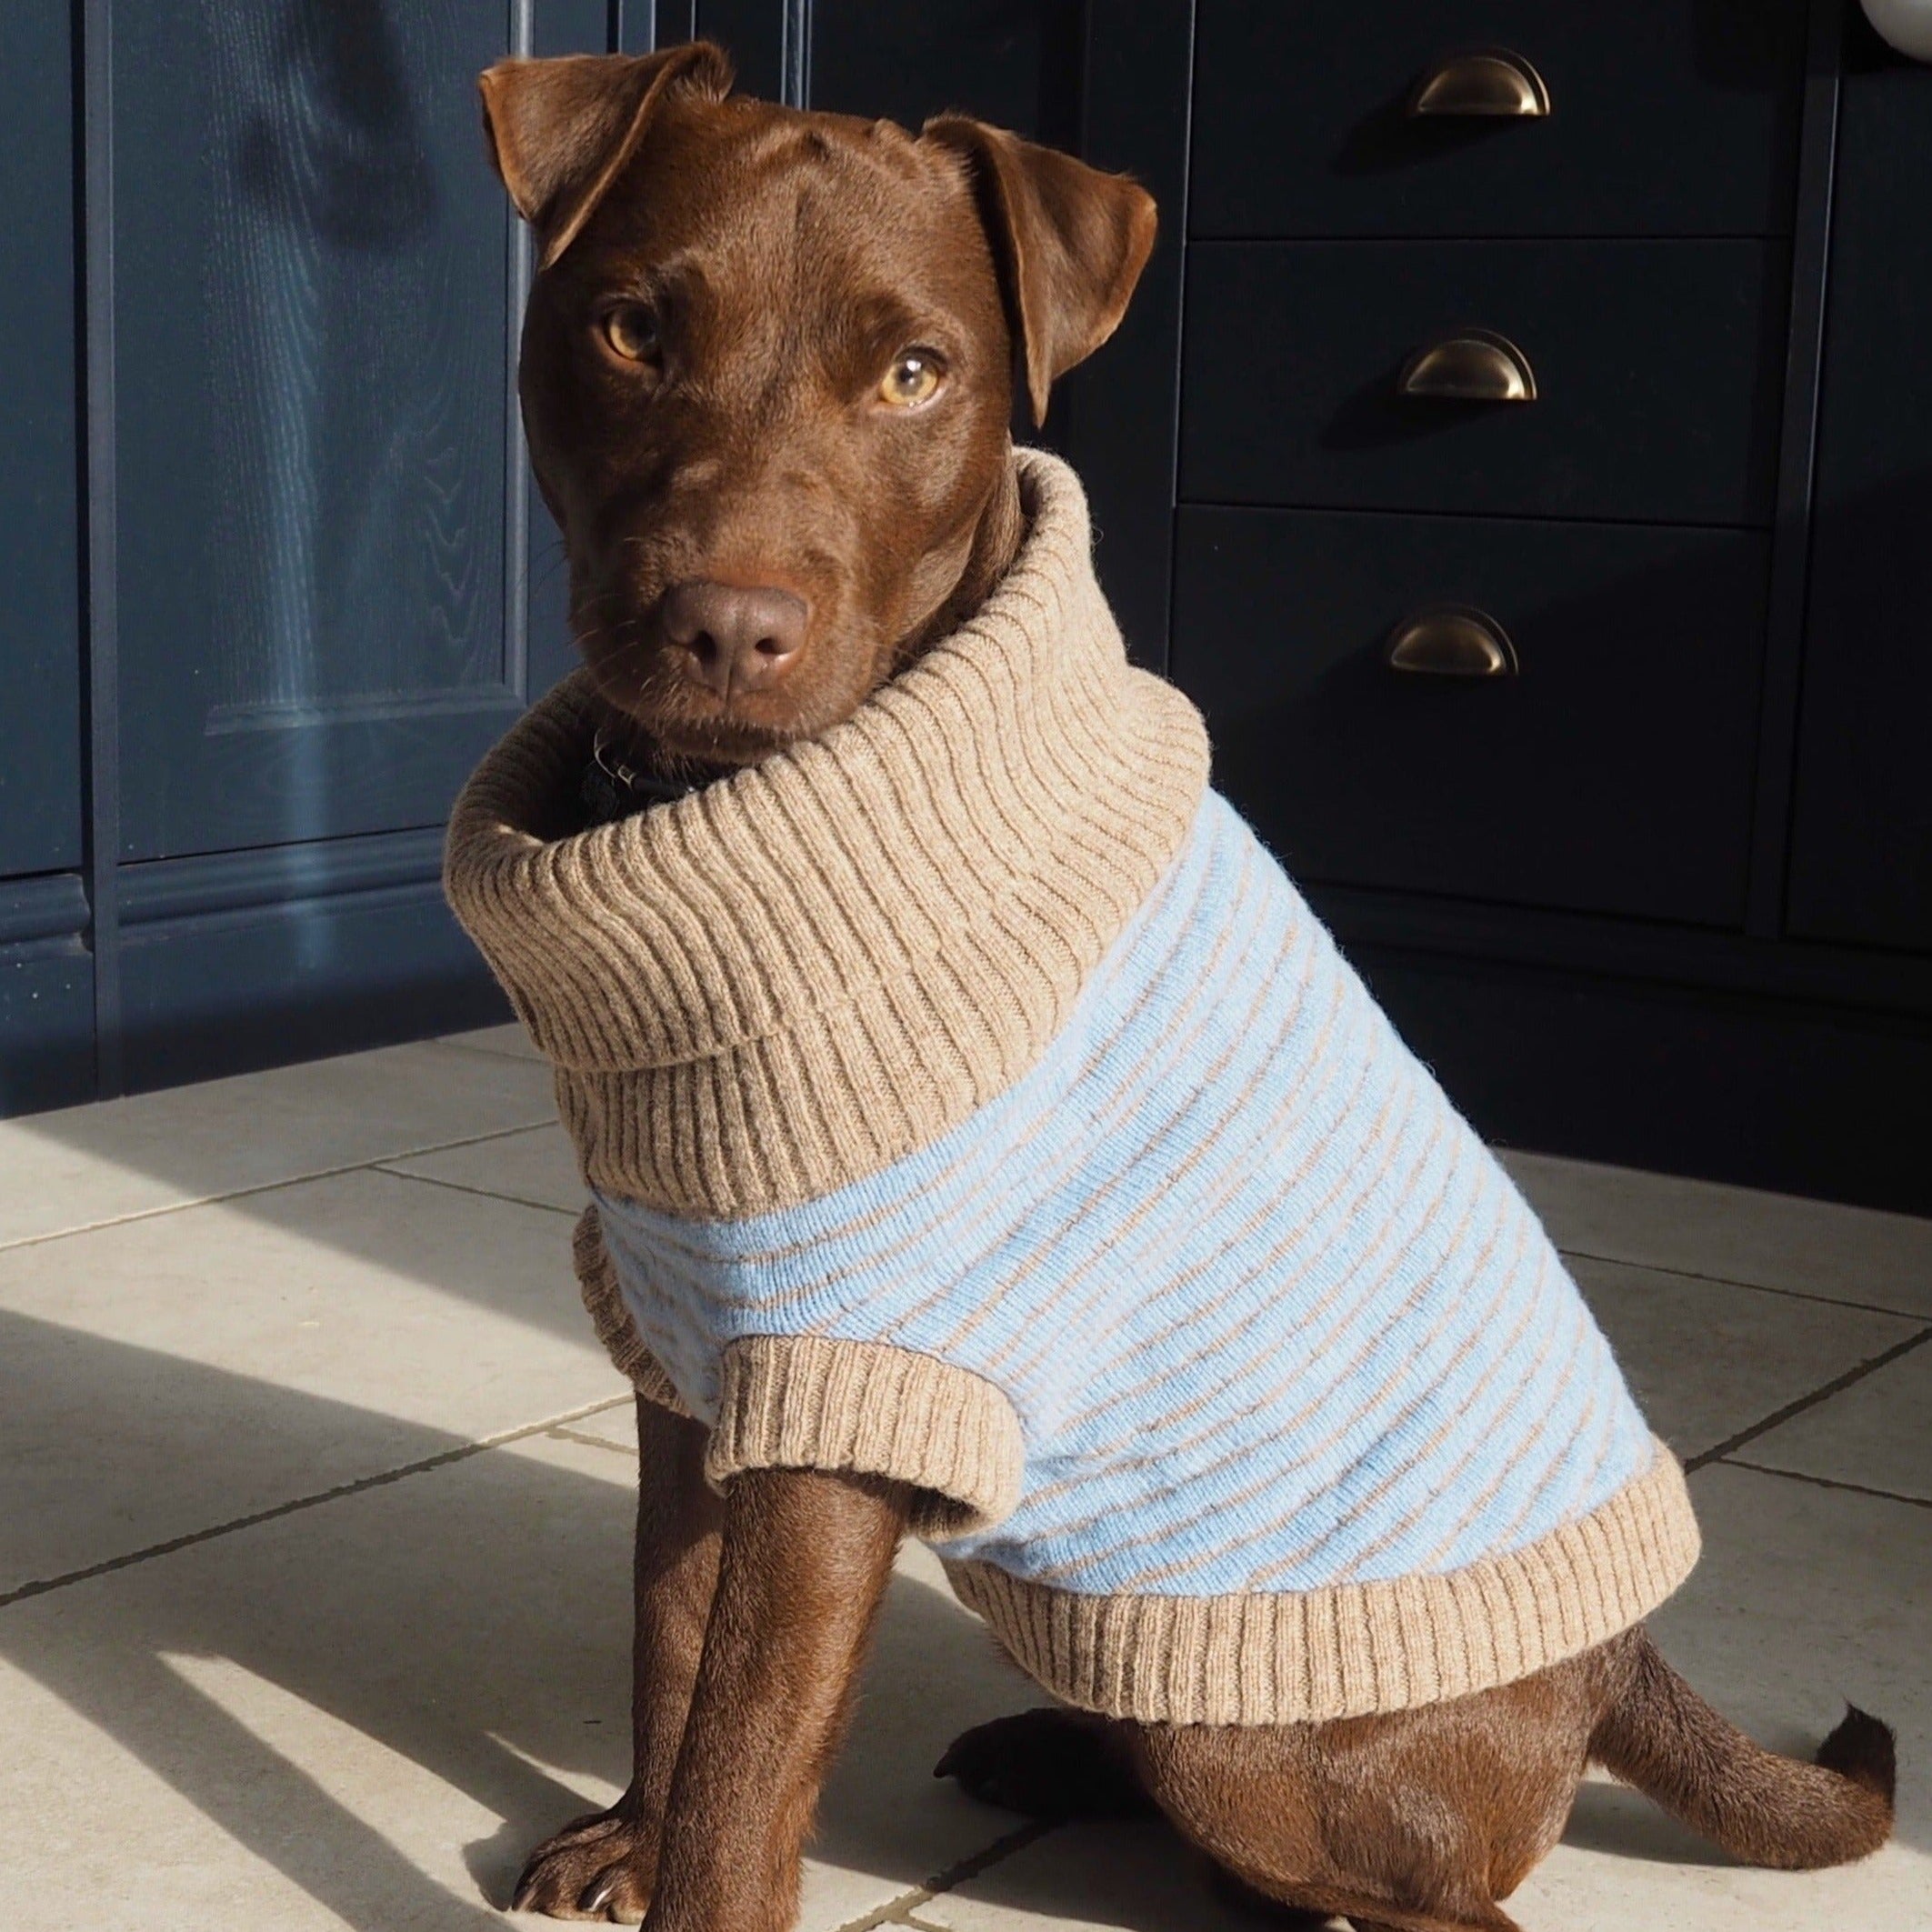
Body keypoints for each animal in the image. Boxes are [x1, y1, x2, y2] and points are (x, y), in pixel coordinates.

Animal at [475, 45, 1893, 1932]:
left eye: (916, 373)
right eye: (632, 328)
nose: (727, 626)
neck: (715, 817)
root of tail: (1620, 1662)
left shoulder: (847, 1399)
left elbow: (750, 1764)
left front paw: (685, 1866)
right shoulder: (687, 1348)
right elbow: (670, 1641)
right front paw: (632, 1833)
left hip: (1256, 1743)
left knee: (1436, 1895)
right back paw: (1052, 1757)